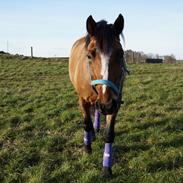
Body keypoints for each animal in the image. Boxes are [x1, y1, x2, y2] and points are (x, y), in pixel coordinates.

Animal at [68, 13, 127, 177]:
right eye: (90, 55)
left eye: (121, 54)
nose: (106, 105)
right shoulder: (82, 100)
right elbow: (86, 123)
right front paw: (87, 148)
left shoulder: (115, 103)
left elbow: (109, 134)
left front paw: (106, 168)